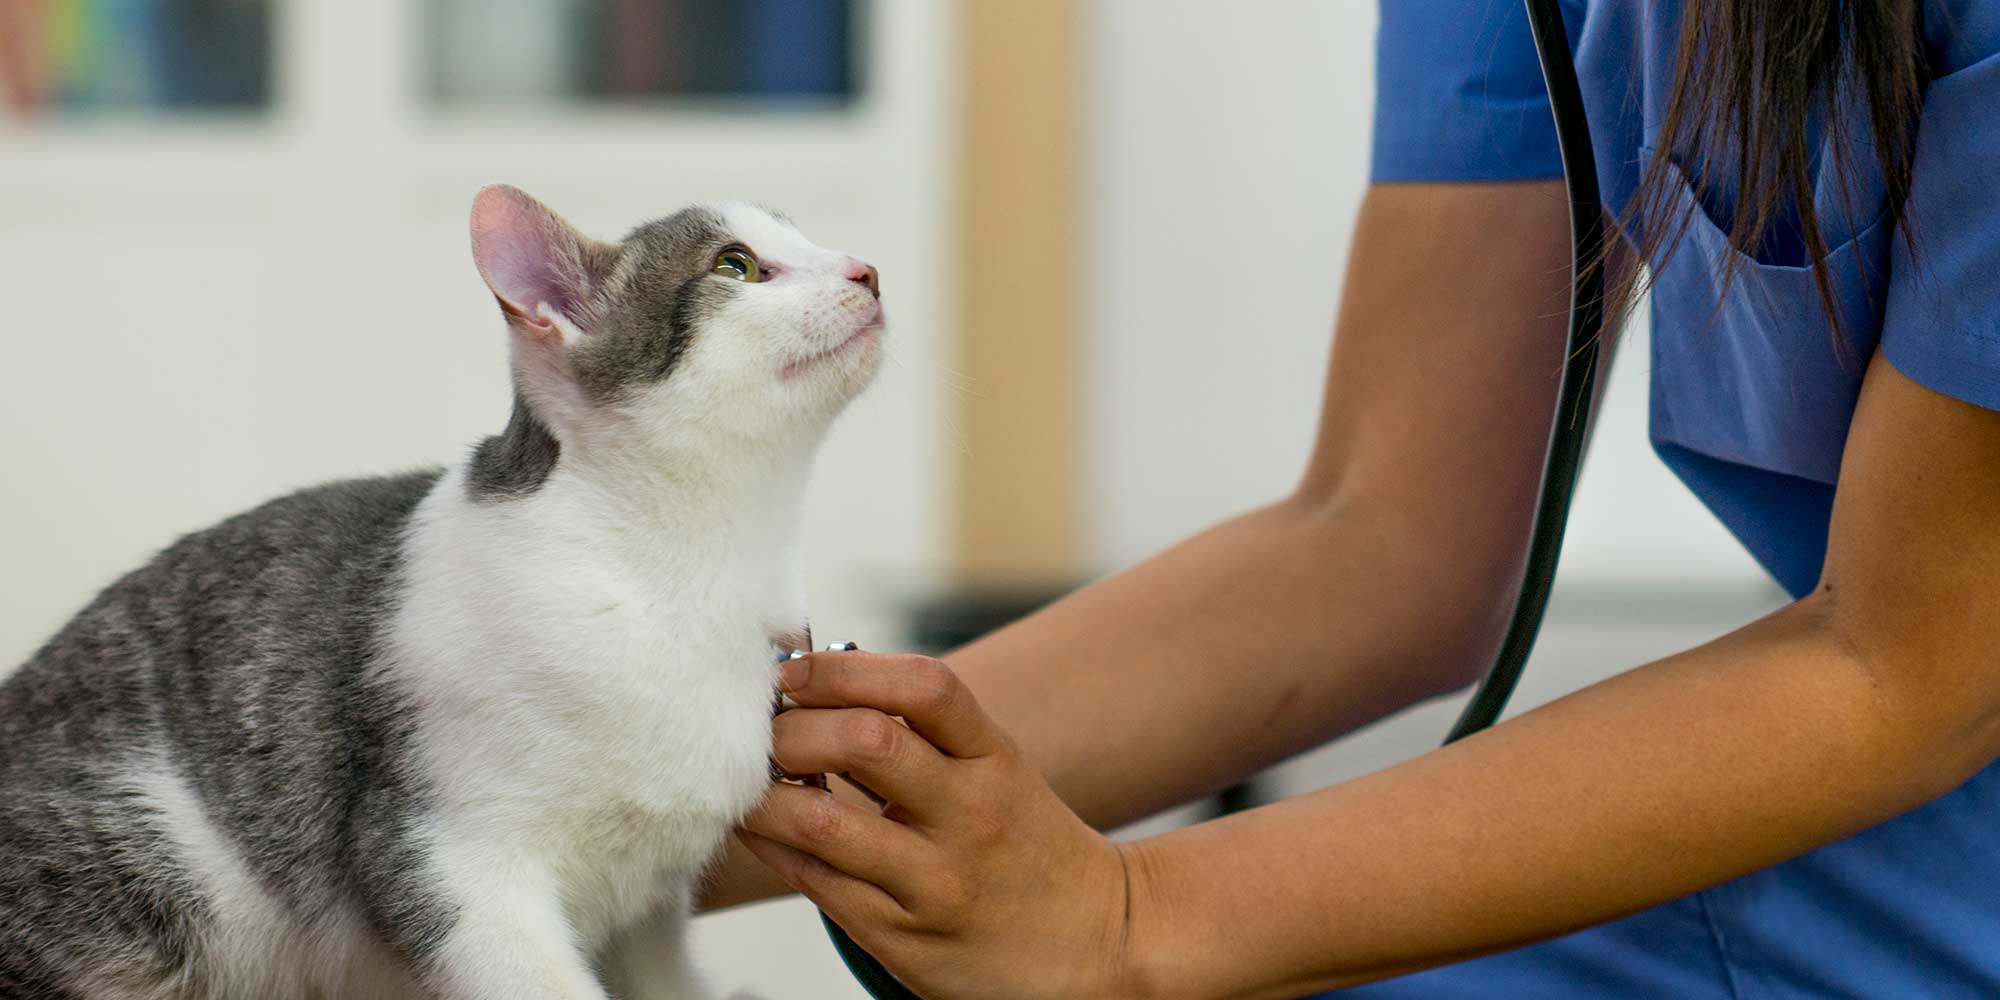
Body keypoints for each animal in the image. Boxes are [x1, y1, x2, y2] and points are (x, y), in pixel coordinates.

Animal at [0, 184, 884, 996]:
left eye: (807, 238)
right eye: (736, 265)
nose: (867, 269)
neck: (681, 577)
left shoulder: (649, 914)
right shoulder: (445, 856)